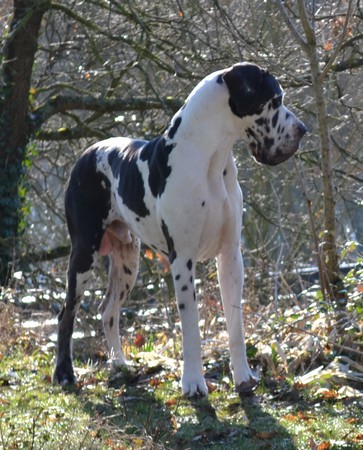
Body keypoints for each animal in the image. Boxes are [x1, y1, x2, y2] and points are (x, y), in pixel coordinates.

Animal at [54, 62, 308, 394]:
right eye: (275, 100)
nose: (303, 129)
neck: (211, 157)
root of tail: (86, 153)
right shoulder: (182, 258)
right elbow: (191, 326)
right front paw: (193, 383)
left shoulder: (231, 257)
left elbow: (236, 324)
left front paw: (242, 377)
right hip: (84, 254)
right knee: (66, 312)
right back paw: (65, 374)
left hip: (127, 262)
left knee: (108, 311)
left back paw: (119, 364)